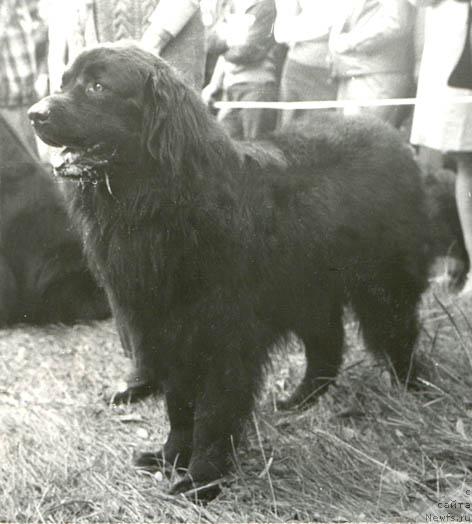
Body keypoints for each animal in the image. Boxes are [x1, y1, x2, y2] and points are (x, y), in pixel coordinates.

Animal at [29, 44, 432, 500]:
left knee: (397, 335)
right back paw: (301, 400)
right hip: (308, 292)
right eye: (63, 82)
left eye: (98, 86)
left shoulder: (223, 335)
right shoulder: (166, 329)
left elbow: (212, 412)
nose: (34, 113)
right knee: (326, 347)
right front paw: (169, 458)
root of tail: (393, 138)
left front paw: (201, 480)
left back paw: (416, 391)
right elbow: (179, 406)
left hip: (380, 285)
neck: (158, 202)